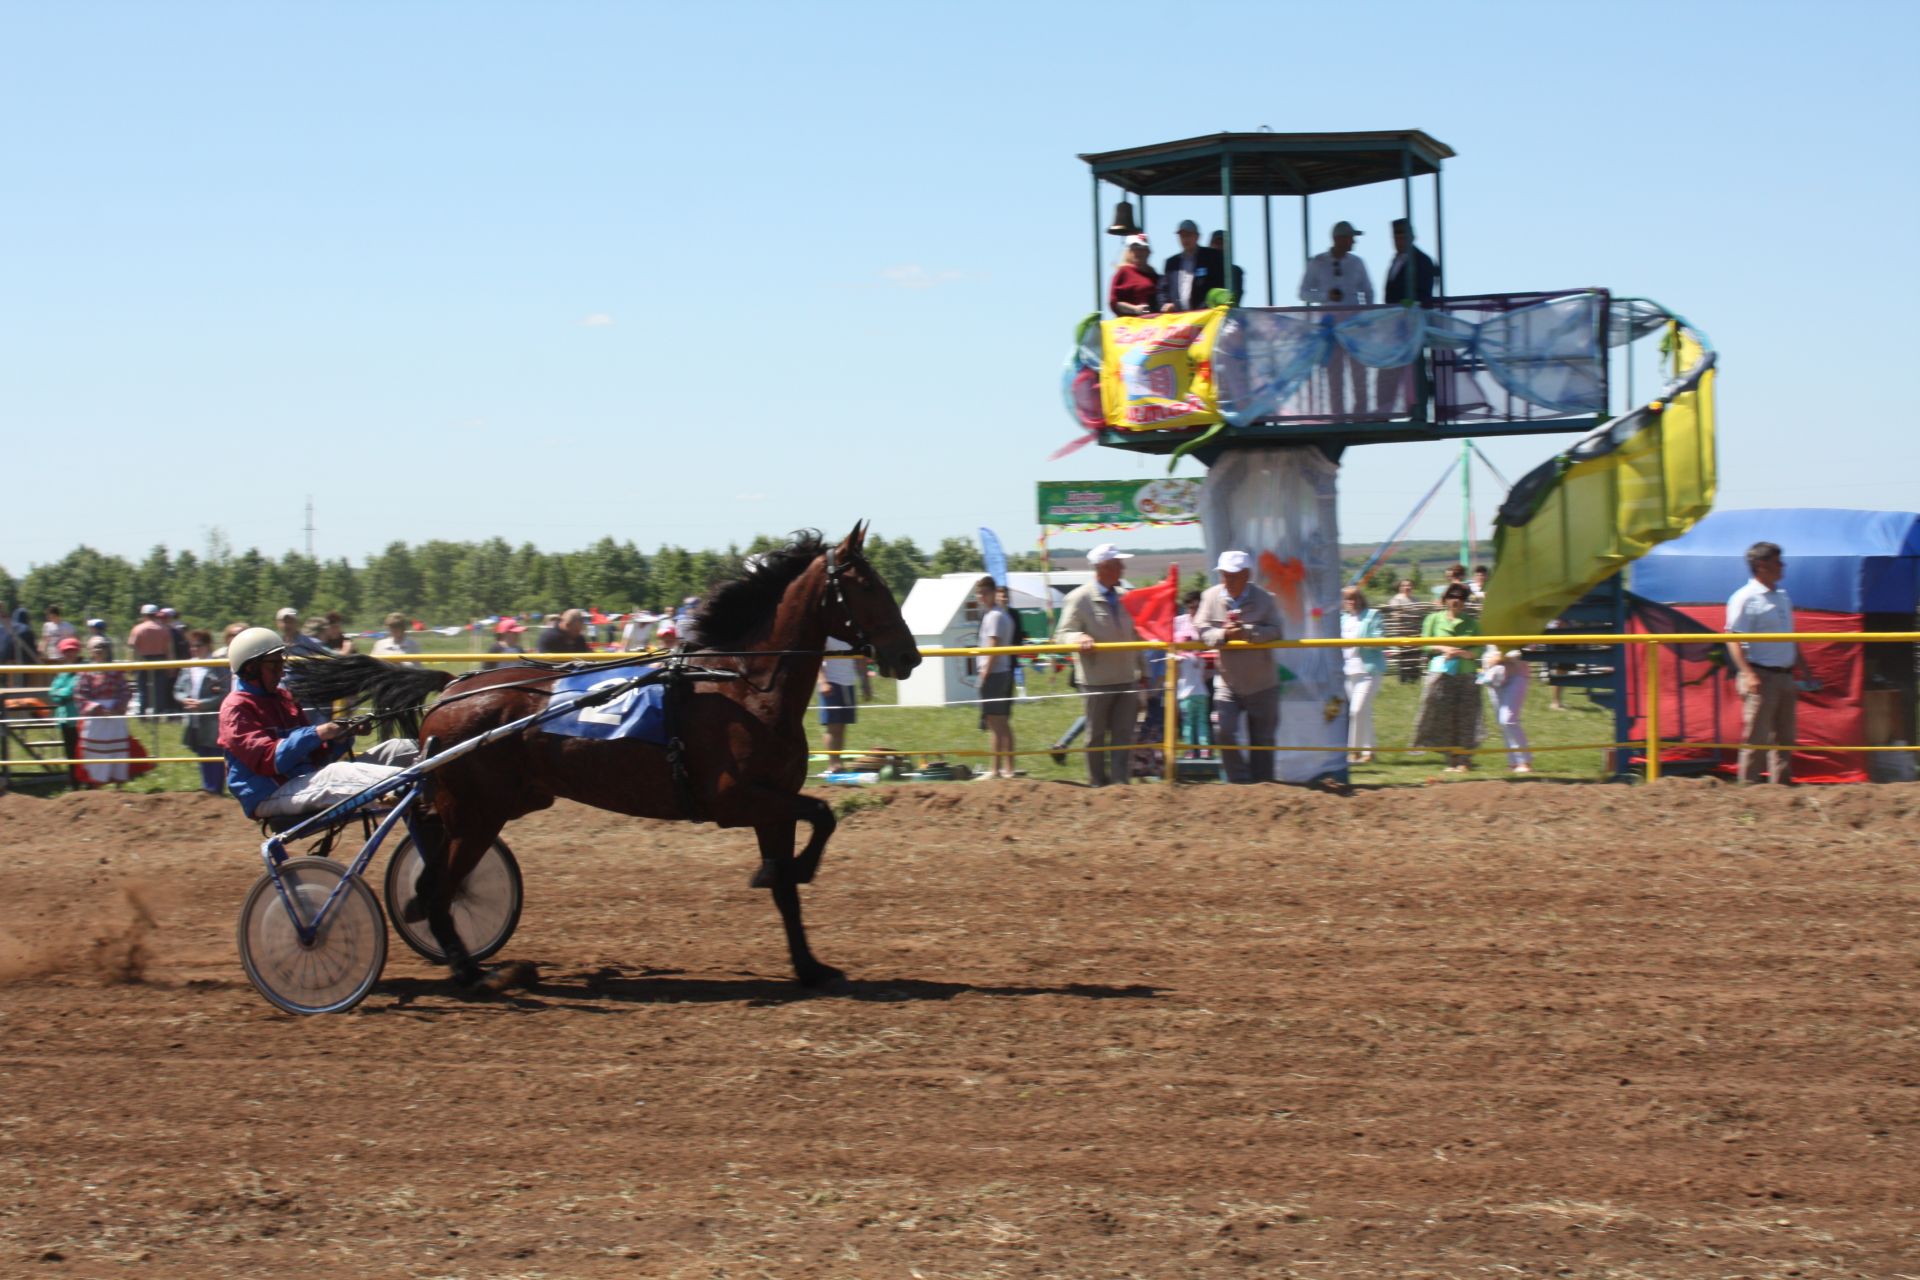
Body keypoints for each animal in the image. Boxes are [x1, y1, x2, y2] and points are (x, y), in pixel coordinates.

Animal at [293, 525, 921, 990]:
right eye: (868, 585)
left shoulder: (773, 803)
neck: (743, 687)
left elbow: (793, 880)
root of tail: (450, 690)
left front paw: (810, 964)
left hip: (482, 807)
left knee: (429, 872)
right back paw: (474, 973)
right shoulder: (736, 798)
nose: (908, 655)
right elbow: (821, 815)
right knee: (437, 890)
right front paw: (789, 873)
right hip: (477, 814)